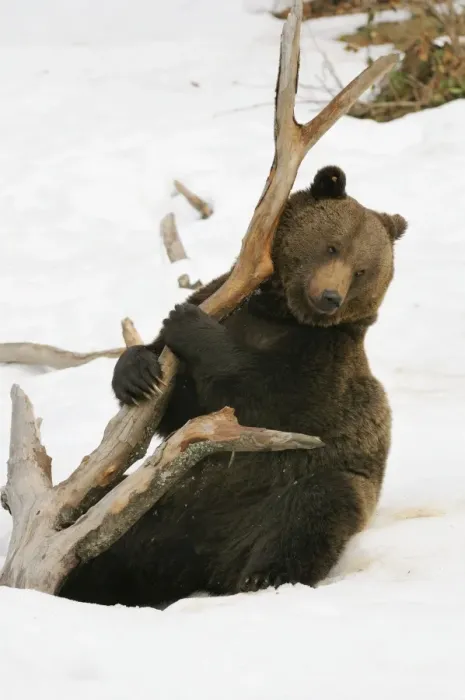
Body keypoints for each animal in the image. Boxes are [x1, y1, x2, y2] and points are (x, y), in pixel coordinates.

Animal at [60, 165, 407, 608]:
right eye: (332, 247)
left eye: (362, 270)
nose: (330, 296)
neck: (280, 313)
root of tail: (203, 562)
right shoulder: (227, 303)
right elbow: (181, 404)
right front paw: (137, 374)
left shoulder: (323, 363)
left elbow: (267, 394)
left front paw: (187, 323)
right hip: (158, 508)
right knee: (109, 547)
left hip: (278, 496)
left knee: (312, 510)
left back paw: (261, 579)